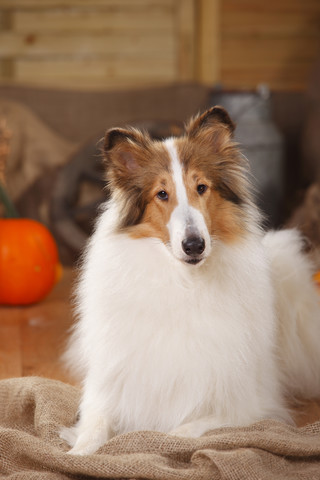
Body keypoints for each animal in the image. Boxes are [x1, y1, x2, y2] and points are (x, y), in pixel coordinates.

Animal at [60, 107, 320, 456]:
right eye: (161, 194)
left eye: (201, 188)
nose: (194, 246)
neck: (184, 282)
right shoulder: (107, 388)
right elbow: (93, 426)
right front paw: (76, 454)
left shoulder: (246, 406)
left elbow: (180, 432)